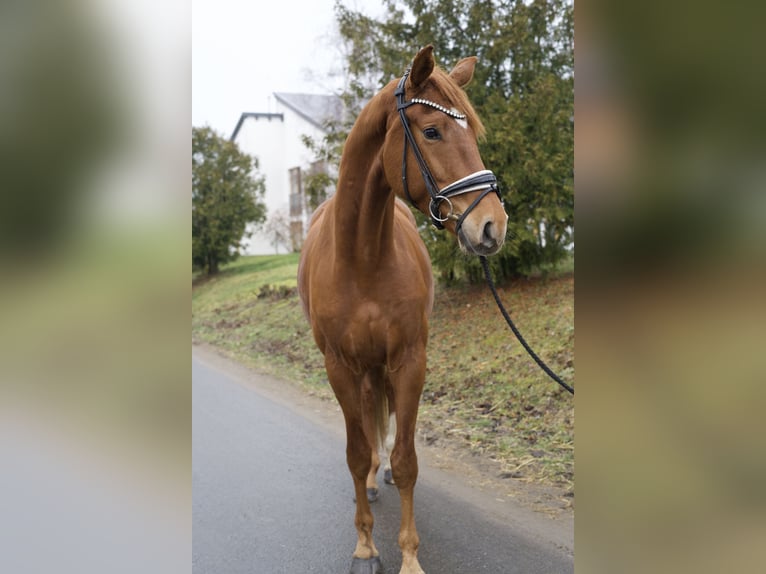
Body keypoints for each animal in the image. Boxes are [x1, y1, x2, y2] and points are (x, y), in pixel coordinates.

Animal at [300, 46, 510, 574]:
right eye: (432, 131)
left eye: (472, 133)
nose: (492, 225)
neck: (362, 258)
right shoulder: (339, 366)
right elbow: (356, 454)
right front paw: (365, 546)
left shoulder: (411, 360)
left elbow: (408, 459)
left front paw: (409, 555)